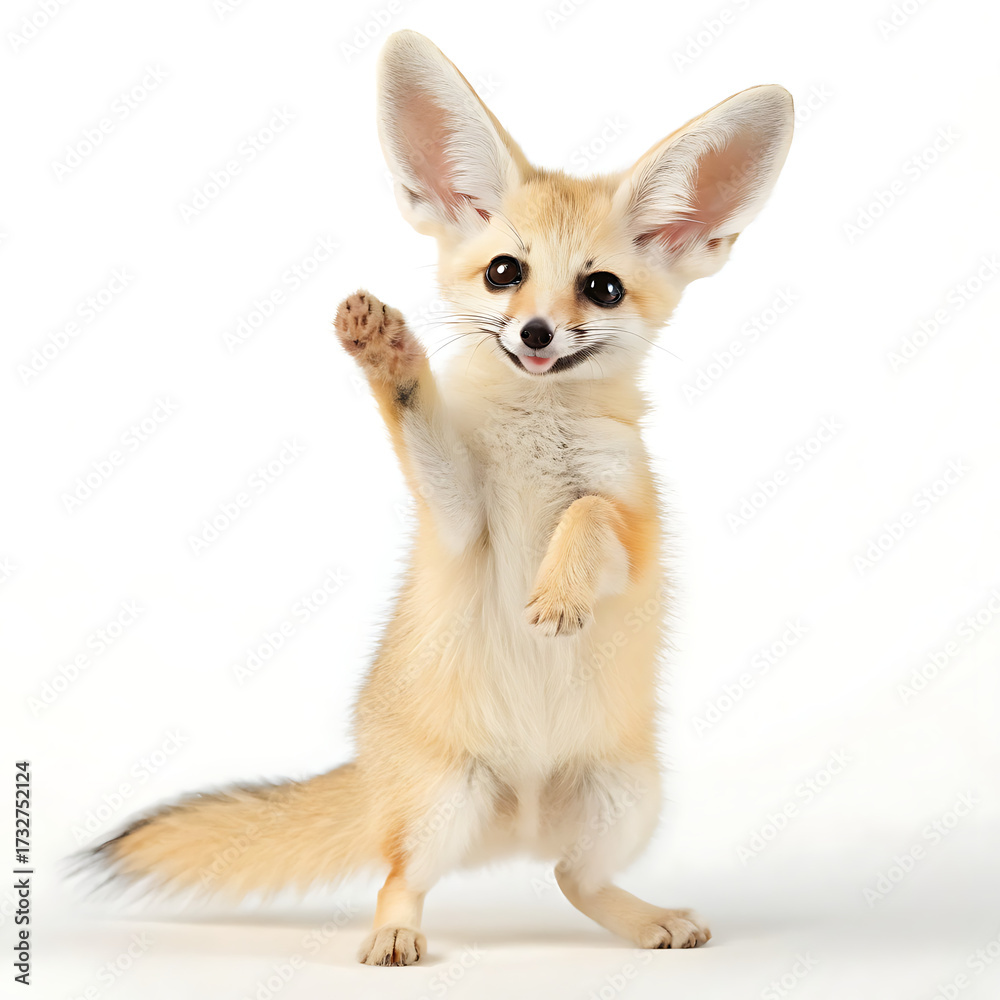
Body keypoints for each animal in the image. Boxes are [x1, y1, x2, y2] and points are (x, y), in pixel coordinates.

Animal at [89, 30, 793, 966]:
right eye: (505, 273)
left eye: (601, 288)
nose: (535, 332)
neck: (536, 440)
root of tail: (516, 824)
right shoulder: (460, 519)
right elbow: (426, 439)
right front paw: (391, 360)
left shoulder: (635, 527)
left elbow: (587, 513)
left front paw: (560, 591)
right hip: (441, 808)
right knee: (402, 879)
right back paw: (394, 936)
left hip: (623, 799)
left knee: (574, 880)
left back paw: (646, 919)